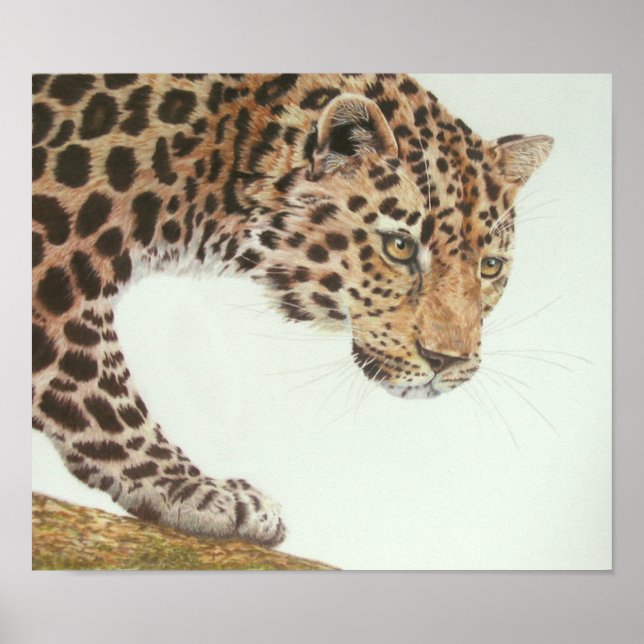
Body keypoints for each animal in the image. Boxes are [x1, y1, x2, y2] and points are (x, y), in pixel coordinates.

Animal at [32, 73, 553, 546]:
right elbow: (101, 395)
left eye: (490, 266)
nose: (447, 361)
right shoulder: (52, 274)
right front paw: (197, 494)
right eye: (400, 246)